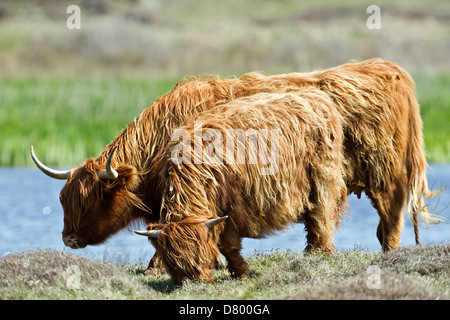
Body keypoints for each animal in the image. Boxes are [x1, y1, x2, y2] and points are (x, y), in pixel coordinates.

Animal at [135, 90, 346, 284]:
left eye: (200, 258)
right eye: (174, 265)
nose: (194, 283)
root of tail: (317, 96)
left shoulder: (233, 208)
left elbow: (227, 245)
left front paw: (241, 274)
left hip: (322, 177)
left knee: (321, 216)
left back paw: (321, 253)